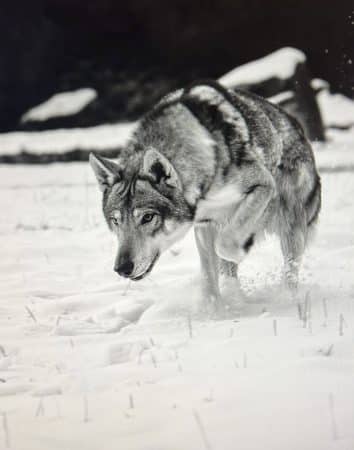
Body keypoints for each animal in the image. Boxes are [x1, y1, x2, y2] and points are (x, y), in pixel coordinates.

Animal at [89, 79, 320, 312]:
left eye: (147, 217)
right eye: (115, 221)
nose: (122, 268)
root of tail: (297, 125)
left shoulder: (262, 184)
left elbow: (225, 246)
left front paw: (239, 251)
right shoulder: (204, 223)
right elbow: (209, 272)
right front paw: (212, 310)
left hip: (291, 228)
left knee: (290, 271)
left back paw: (286, 299)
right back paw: (236, 297)